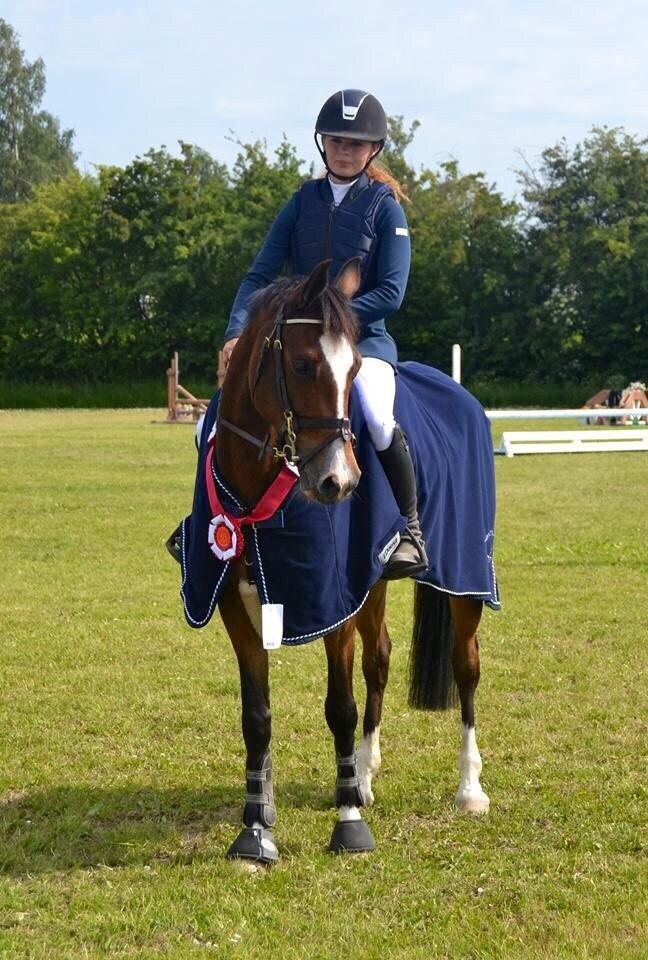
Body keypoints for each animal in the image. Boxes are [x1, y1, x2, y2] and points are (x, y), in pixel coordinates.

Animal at [203, 258, 490, 862]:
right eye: (303, 363)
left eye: (355, 367)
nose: (340, 482)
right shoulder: (236, 608)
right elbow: (256, 718)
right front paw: (255, 831)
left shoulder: (334, 603)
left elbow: (340, 707)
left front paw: (349, 823)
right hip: (373, 585)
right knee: (379, 658)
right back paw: (364, 770)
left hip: (467, 581)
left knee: (466, 667)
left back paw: (470, 788)